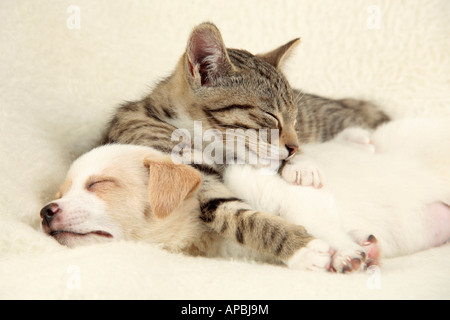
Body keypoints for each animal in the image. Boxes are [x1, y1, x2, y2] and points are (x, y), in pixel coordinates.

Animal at [103, 21, 388, 270]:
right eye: (271, 116)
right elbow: (245, 219)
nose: (294, 147)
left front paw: (301, 165)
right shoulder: (188, 181)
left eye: (293, 120)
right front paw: (302, 248)